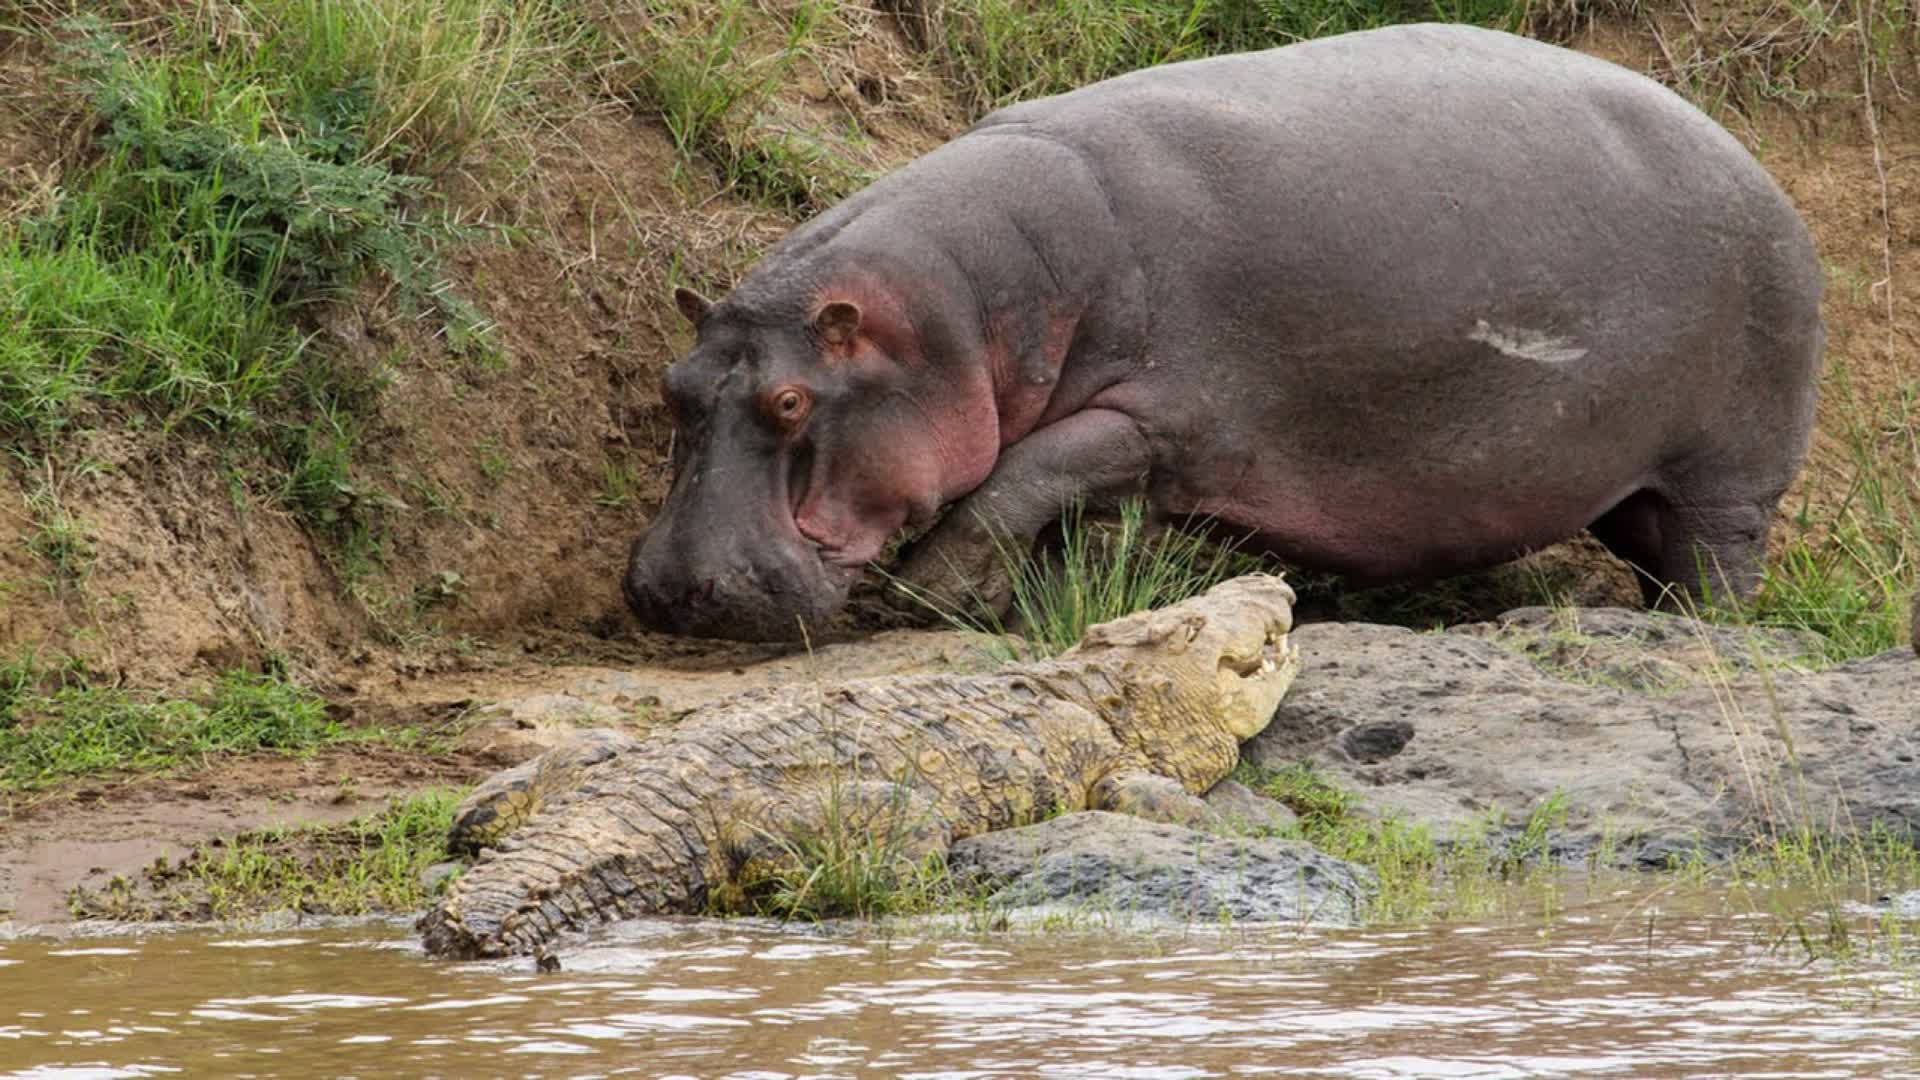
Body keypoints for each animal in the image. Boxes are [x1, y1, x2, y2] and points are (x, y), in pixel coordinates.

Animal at [625, 23, 1812, 638]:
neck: (953, 318)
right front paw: (1022, 609)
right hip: (1622, 480)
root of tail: (1751, 156)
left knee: (1719, 560)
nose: (674, 589)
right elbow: (1043, 507)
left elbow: (1020, 480)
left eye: (790, 401)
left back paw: (1699, 635)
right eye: (675, 388)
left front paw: (937, 597)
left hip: (1730, 469)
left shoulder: (1167, 419)